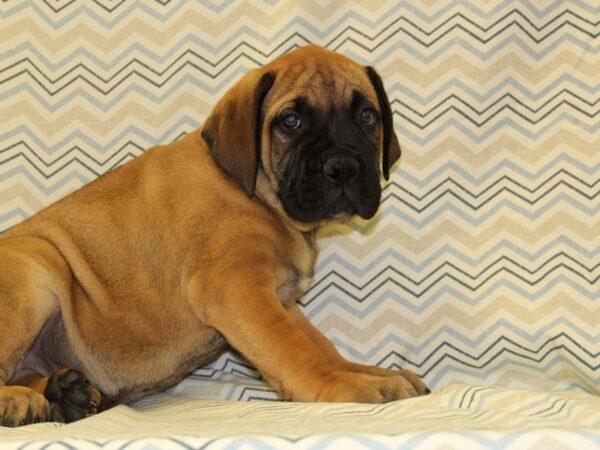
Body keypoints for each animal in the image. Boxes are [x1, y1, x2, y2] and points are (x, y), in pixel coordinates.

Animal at [0, 45, 426, 428]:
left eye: (367, 116)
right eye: (291, 121)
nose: (343, 167)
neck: (256, 194)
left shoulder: (279, 299)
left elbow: (320, 344)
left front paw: (368, 372)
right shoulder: (238, 289)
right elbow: (295, 349)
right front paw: (343, 387)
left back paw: (64, 394)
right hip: (33, 269)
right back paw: (24, 400)